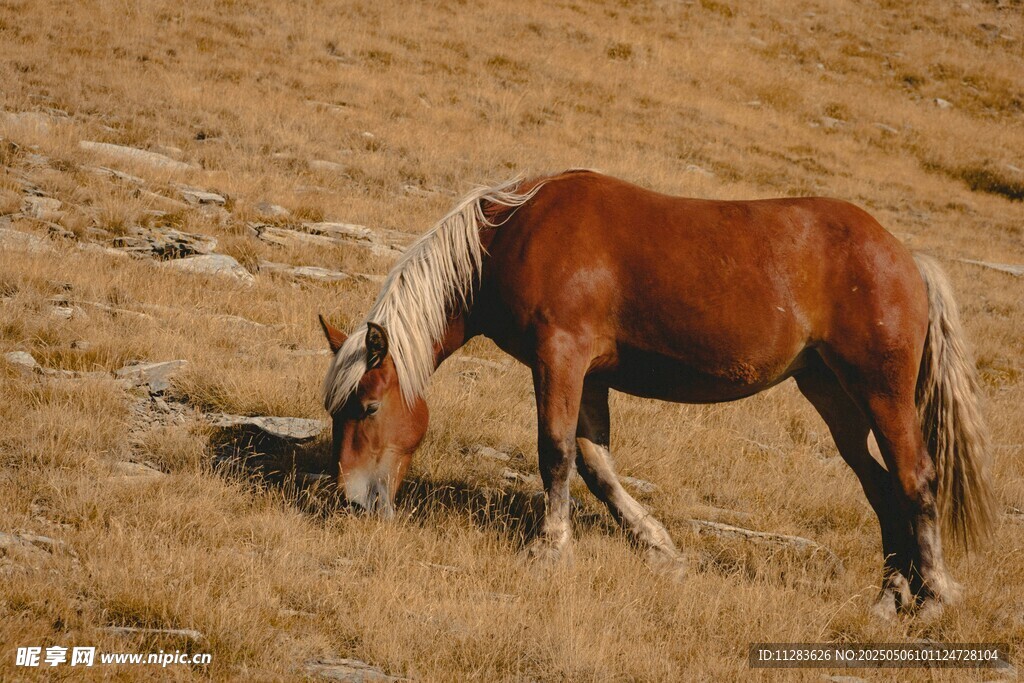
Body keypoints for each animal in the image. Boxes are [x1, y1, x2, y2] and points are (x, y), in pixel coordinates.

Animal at [318, 169, 994, 618]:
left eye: (369, 407)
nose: (351, 501)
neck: (515, 233)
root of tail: (906, 257)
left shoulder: (560, 358)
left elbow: (555, 452)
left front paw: (550, 548)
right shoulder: (590, 374)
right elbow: (596, 464)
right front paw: (660, 548)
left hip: (882, 394)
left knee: (916, 480)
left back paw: (934, 597)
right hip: (833, 397)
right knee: (881, 488)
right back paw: (890, 595)